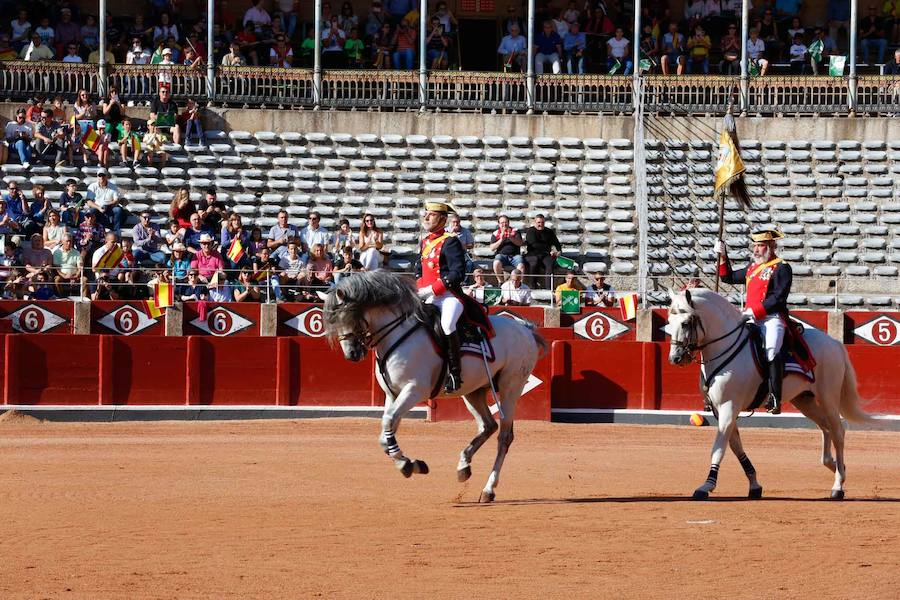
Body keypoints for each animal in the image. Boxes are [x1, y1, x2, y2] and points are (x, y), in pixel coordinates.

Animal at [324, 270, 548, 502]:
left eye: (347, 316)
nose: (351, 354)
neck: (397, 333)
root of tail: (525, 330)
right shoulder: (392, 395)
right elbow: (386, 433)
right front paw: (414, 463)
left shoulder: (414, 390)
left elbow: (387, 423)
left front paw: (405, 465)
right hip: (474, 391)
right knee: (488, 425)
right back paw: (463, 466)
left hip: (510, 388)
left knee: (504, 436)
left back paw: (488, 489)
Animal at [668, 288, 880, 500]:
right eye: (669, 322)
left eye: (686, 323)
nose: (675, 358)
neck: (725, 346)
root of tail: (835, 343)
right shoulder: (721, 410)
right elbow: (736, 447)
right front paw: (754, 485)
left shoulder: (729, 407)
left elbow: (718, 448)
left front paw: (706, 486)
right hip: (804, 400)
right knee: (825, 427)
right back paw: (834, 465)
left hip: (829, 398)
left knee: (838, 432)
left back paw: (838, 485)